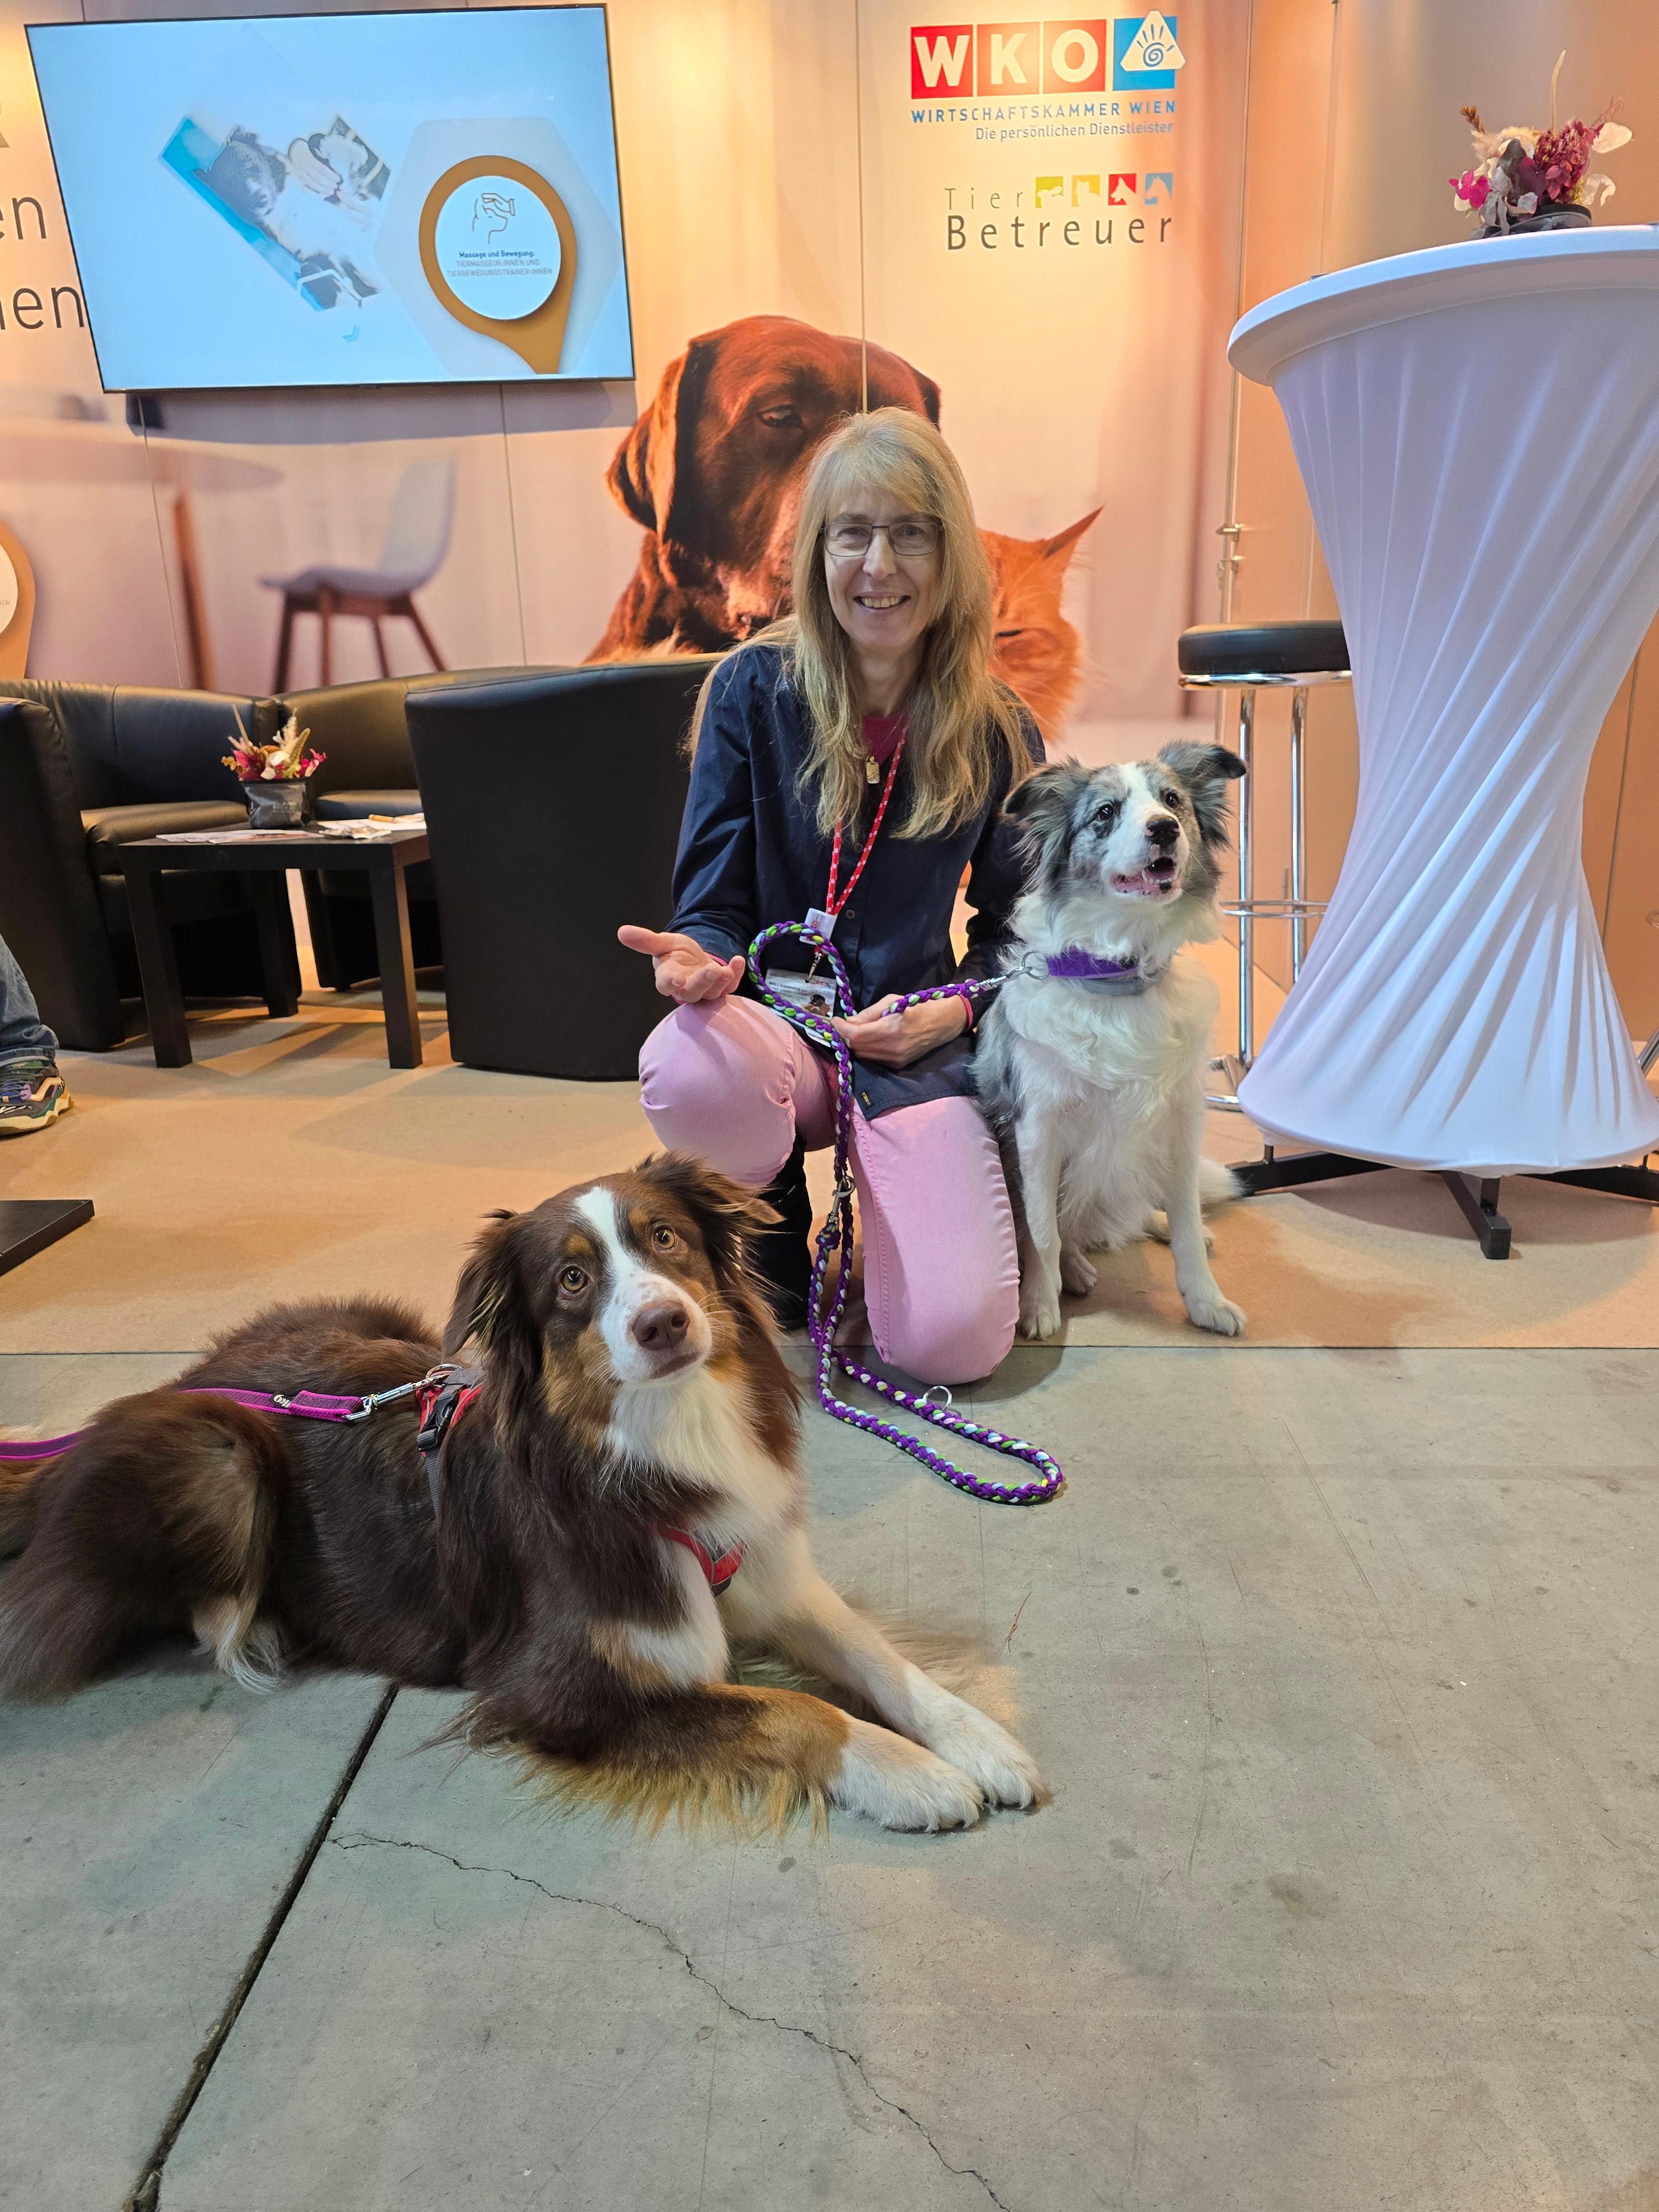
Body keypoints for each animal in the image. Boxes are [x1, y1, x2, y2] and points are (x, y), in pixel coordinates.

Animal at [0, 1157, 1040, 1834]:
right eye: (573, 1280)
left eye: (666, 1240)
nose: (664, 1324)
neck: (657, 1435)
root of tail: (190, 1377)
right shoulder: (559, 1689)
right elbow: (789, 1710)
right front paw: (910, 1776)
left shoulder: (767, 1570)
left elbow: (879, 1660)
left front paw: (979, 1741)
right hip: (216, 1451)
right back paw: (252, 1629)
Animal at [975, 746, 1248, 1342]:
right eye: (1105, 812)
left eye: (1172, 800)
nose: (1164, 829)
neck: (1116, 975)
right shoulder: (1038, 1128)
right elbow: (1041, 1230)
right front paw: (1039, 1304)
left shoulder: (1181, 1119)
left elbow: (1187, 1220)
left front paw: (1207, 1302)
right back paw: (1074, 1269)